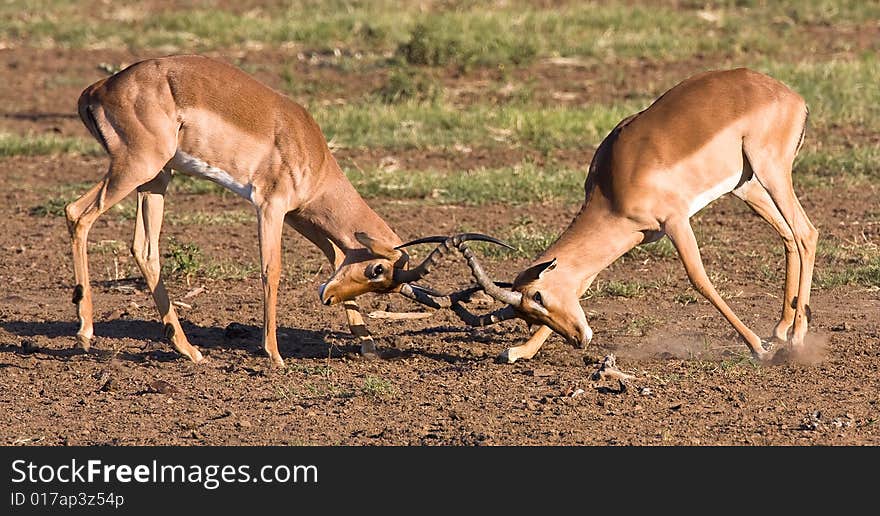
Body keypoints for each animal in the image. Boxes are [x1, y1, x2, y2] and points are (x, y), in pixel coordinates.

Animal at [65, 55, 498, 366]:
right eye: (377, 270)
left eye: (384, 283)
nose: (327, 299)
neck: (311, 151)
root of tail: (98, 88)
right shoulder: (269, 206)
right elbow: (271, 271)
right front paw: (275, 355)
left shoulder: (300, 216)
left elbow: (336, 255)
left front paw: (368, 346)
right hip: (136, 167)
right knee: (77, 213)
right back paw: (85, 332)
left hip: (157, 178)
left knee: (144, 248)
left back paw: (188, 350)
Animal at [440, 68, 820, 364]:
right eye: (529, 316)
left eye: (539, 297)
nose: (579, 339)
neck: (612, 187)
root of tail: (792, 97)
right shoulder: (635, 236)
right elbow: (584, 282)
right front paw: (520, 351)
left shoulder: (675, 222)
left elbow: (700, 280)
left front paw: (758, 348)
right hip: (745, 186)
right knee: (787, 236)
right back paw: (782, 328)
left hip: (771, 172)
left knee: (806, 233)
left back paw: (796, 338)